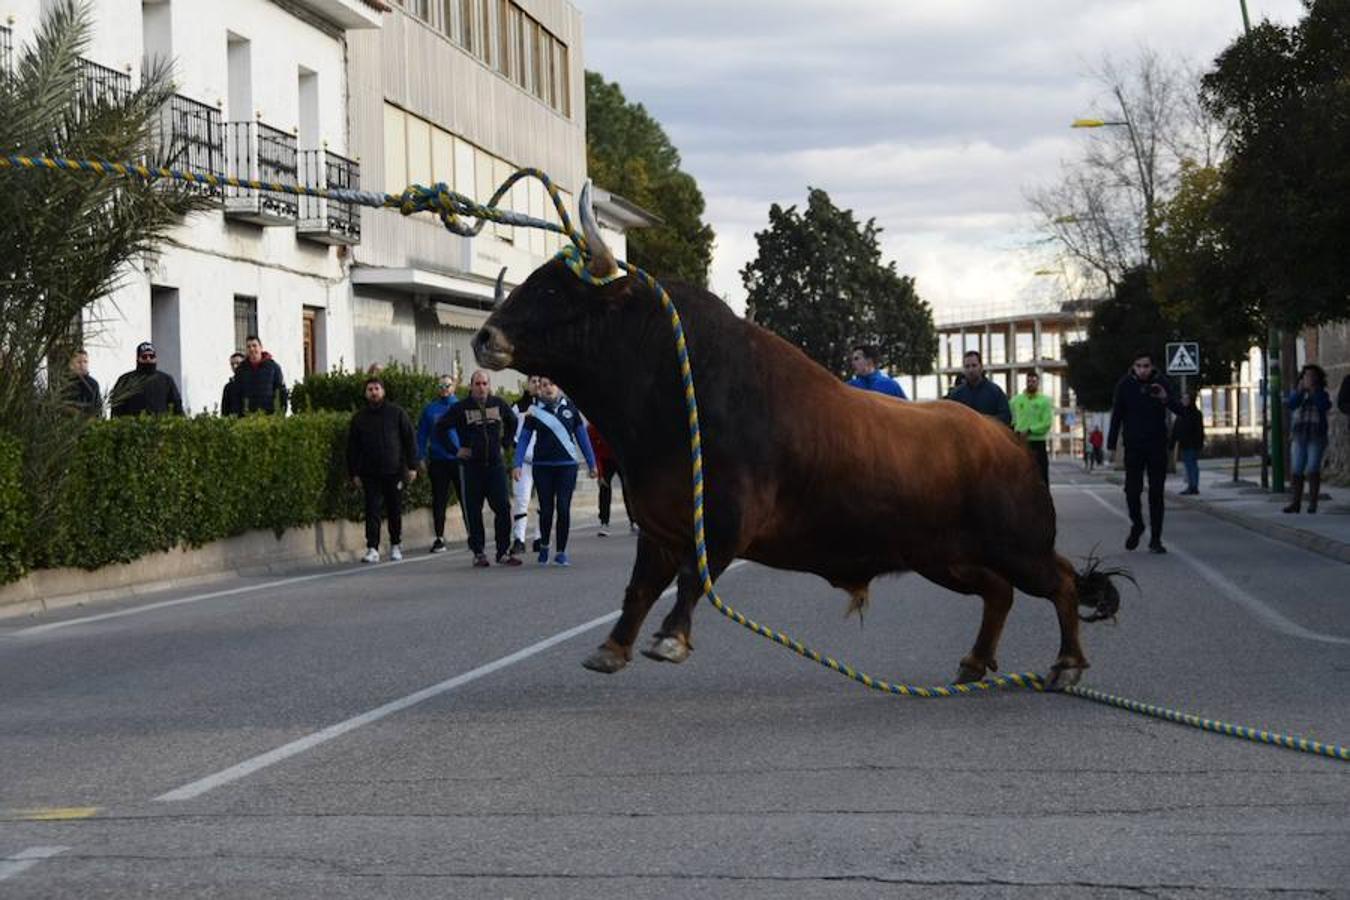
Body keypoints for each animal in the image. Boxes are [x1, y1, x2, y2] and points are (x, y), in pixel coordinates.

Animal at [472, 183, 1107, 690]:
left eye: (556, 290)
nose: (485, 336)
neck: (673, 387)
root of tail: (1006, 440)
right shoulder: (658, 524)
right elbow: (640, 587)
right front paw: (612, 648)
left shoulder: (725, 518)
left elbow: (693, 575)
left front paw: (670, 639)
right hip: (942, 556)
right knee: (1000, 593)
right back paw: (975, 664)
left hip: (1015, 546)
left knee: (1061, 582)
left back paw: (1067, 664)